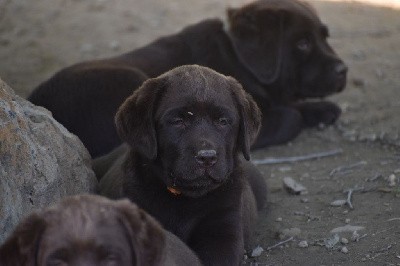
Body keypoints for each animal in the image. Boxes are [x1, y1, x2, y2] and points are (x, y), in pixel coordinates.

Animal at [28, 0, 346, 158]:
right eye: (302, 43)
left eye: (325, 36)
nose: (344, 70)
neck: (237, 56)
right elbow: (289, 115)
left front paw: (321, 109)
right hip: (129, 79)